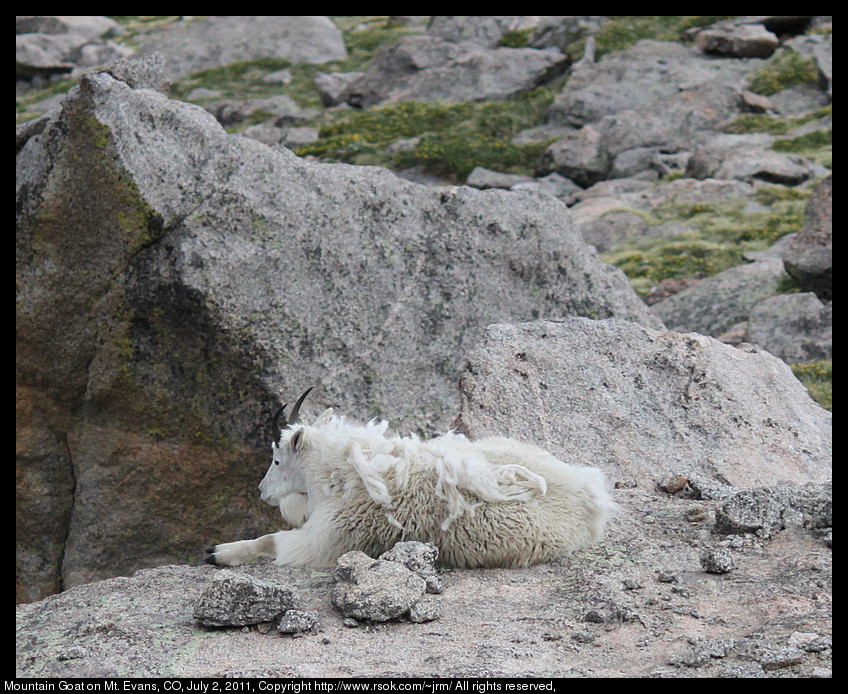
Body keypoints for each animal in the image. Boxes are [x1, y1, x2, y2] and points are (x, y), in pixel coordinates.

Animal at [207, 392, 616, 572]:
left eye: (277, 459)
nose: (262, 491)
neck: (344, 473)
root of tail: (592, 499)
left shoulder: (328, 538)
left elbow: (272, 541)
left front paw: (218, 551)